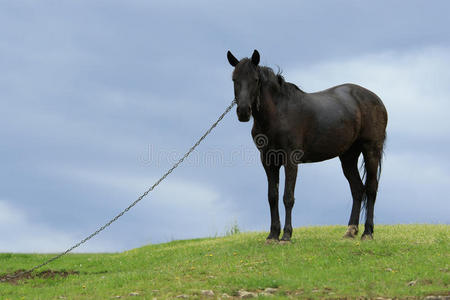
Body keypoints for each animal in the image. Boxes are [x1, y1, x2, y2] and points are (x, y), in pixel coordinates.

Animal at [227, 49, 388, 241]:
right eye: (234, 79)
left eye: (256, 79)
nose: (243, 112)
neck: (279, 114)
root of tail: (376, 99)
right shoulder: (268, 160)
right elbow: (272, 196)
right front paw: (272, 235)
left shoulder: (290, 160)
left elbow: (288, 197)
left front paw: (286, 235)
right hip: (348, 156)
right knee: (357, 189)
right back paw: (350, 231)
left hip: (371, 150)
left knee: (371, 188)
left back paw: (367, 232)